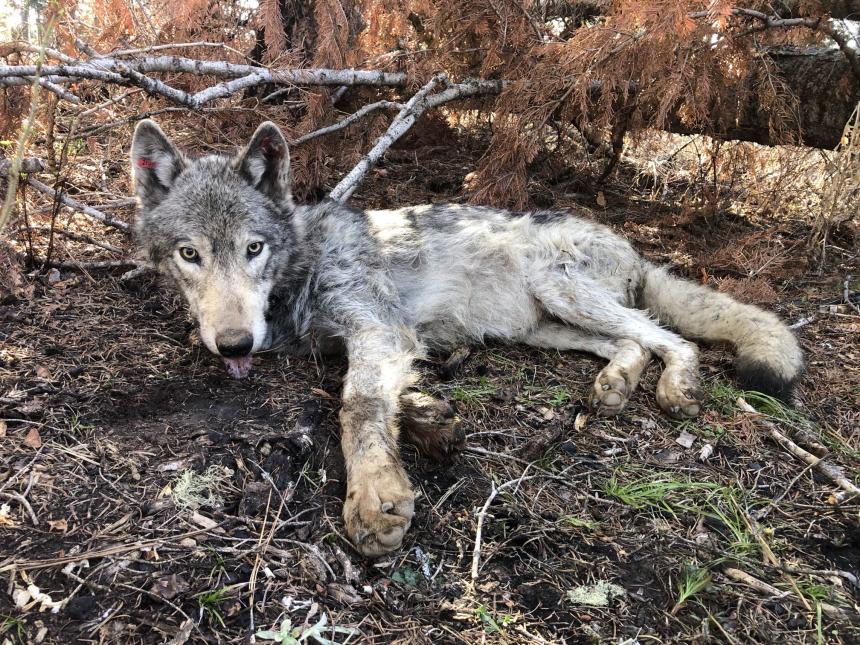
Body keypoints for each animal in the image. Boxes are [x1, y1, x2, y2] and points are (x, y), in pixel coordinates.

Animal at [131, 123, 804, 556]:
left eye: (253, 248)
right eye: (190, 255)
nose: (235, 345)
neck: (302, 263)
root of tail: (634, 248)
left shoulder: (378, 329)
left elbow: (357, 407)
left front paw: (376, 495)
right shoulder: (381, 341)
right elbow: (391, 397)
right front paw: (431, 421)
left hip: (559, 291)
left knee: (670, 338)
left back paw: (678, 385)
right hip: (542, 327)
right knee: (630, 344)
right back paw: (614, 386)